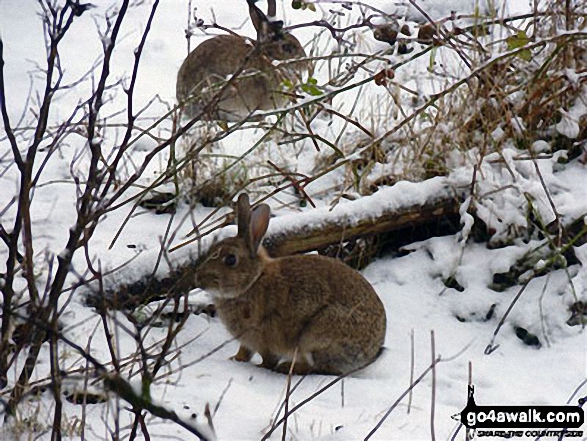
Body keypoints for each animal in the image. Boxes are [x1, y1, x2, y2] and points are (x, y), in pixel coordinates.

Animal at [195, 193, 388, 374]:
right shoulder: (247, 342)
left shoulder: (264, 338)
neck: (253, 281)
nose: (198, 279)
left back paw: (287, 367)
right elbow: (244, 352)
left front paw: (260, 367)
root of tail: (373, 350)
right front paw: (235, 360)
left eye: (230, 259)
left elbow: (268, 359)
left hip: (316, 335)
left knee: (317, 367)